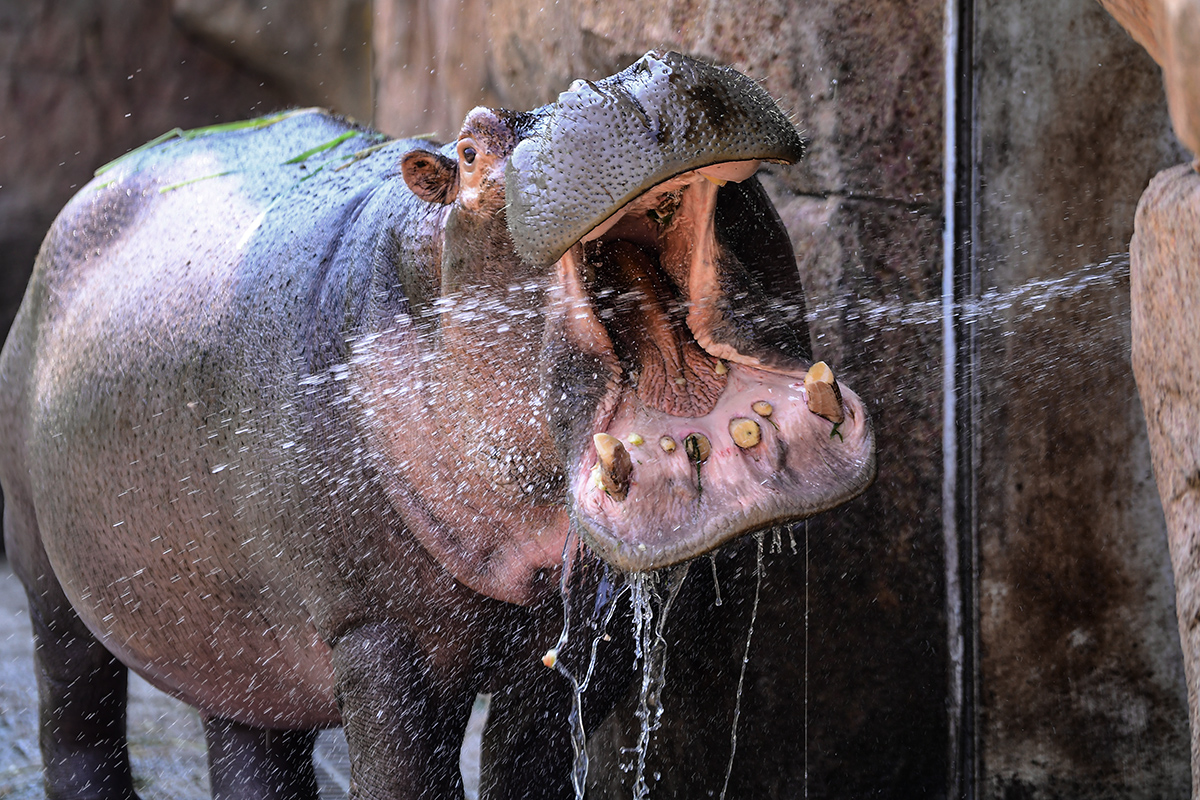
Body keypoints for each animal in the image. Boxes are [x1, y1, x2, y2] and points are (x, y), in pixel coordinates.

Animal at [0, 53, 873, 796]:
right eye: (471, 148)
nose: (634, 80)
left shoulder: (575, 640)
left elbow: (529, 772)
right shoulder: (380, 639)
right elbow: (406, 777)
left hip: (237, 625)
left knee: (250, 741)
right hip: (45, 564)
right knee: (74, 705)